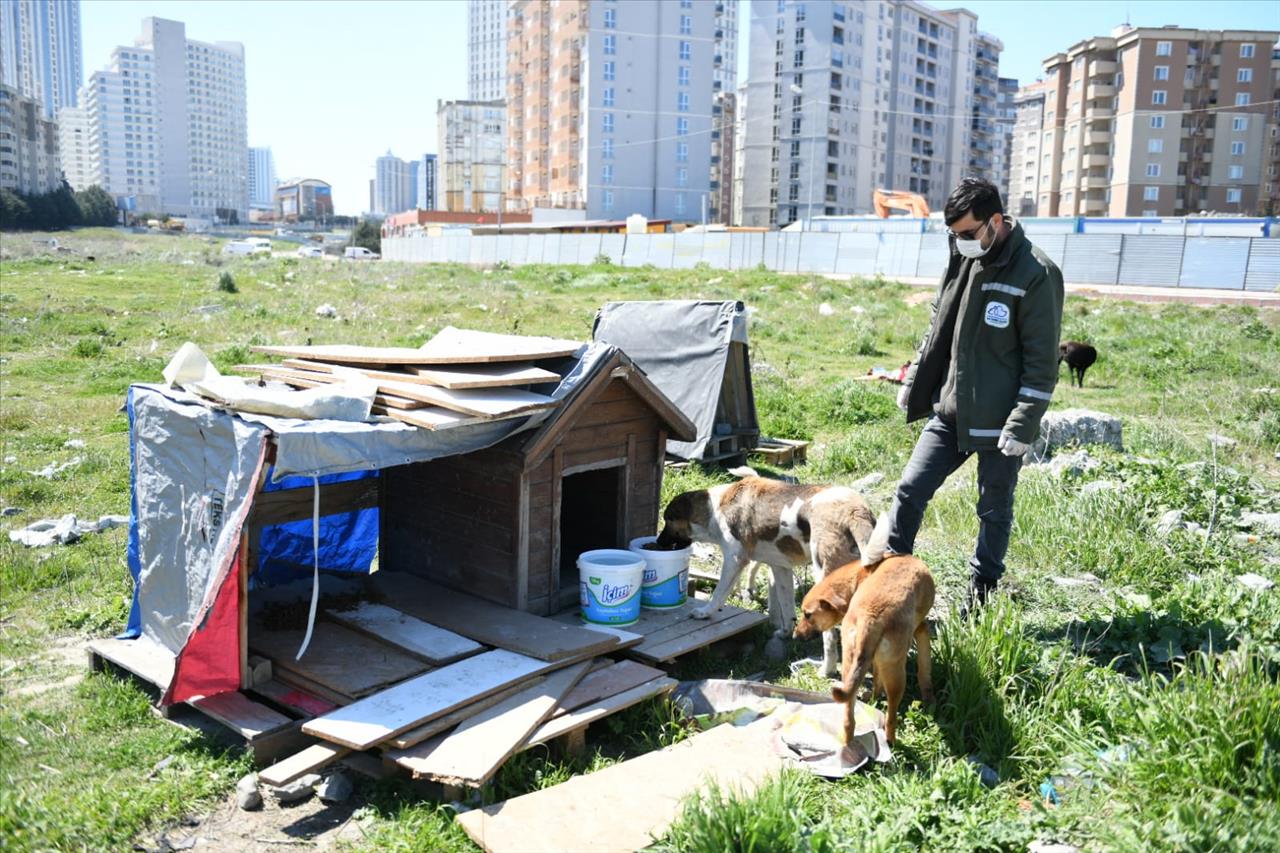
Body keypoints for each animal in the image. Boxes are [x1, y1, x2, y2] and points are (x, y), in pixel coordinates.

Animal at [655, 473, 875, 676]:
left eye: (667, 520)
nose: (657, 542)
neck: (713, 510)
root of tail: (856, 511)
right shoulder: (780, 568)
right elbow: (787, 609)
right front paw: (785, 633)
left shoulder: (735, 559)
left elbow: (718, 594)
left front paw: (705, 613)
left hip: (824, 577)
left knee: (830, 636)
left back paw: (826, 670)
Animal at [793, 555, 936, 742]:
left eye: (807, 614)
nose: (794, 636)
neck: (858, 578)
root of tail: (870, 616)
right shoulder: (921, 629)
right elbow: (924, 670)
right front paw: (928, 698)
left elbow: (877, 677)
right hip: (896, 673)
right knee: (891, 717)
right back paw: (891, 741)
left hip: (849, 665)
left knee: (849, 718)